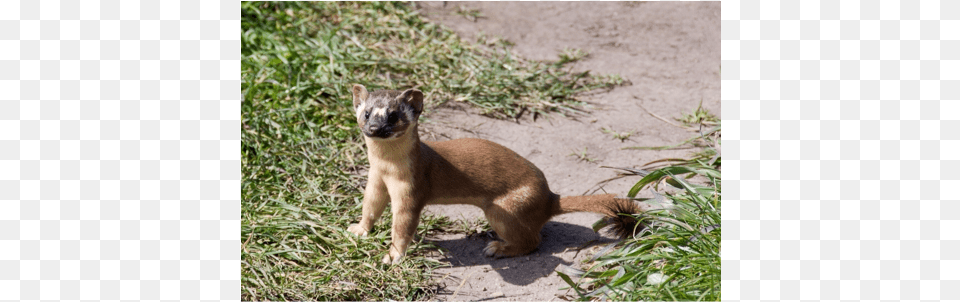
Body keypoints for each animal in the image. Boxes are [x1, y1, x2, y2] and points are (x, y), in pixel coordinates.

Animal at [348, 84, 640, 264]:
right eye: (366, 113)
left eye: (393, 116)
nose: (374, 128)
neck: (388, 169)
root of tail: (550, 197)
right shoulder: (375, 180)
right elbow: (370, 206)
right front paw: (358, 230)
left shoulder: (412, 188)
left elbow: (403, 226)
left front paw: (392, 256)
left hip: (503, 209)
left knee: (532, 240)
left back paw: (497, 247)